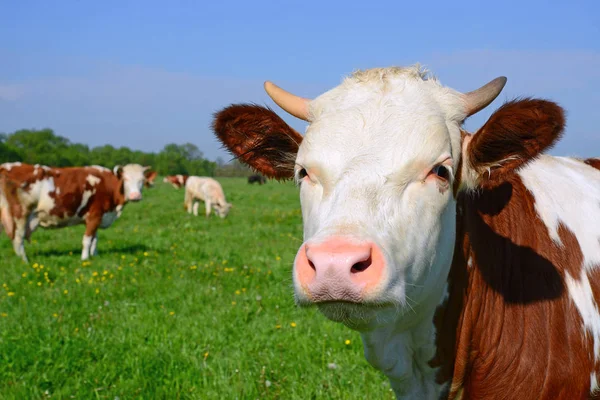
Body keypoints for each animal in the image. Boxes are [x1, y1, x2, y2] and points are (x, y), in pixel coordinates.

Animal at [0, 161, 150, 260]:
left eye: (142, 180)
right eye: (125, 179)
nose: (135, 196)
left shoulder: (98, 216)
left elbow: (95, 239)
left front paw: (94, 256)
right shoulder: (95, 215)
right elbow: (87, 240)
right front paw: (84, 259)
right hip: (20, 215)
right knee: (18, 239)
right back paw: (25, 262)